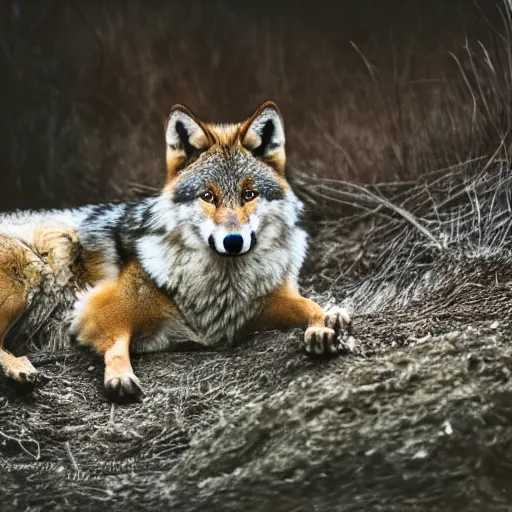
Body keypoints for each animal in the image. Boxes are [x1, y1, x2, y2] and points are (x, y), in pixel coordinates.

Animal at [0, 101, 350, 400]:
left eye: (249, 194)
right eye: (208, 196)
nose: (233, 241)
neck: (219, 287)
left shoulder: (262, 305)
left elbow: (311, 305)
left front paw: (326, 324)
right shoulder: (96, 308)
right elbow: (117, 343)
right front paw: (120, 376)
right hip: (26, 273)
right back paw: (18, 368)